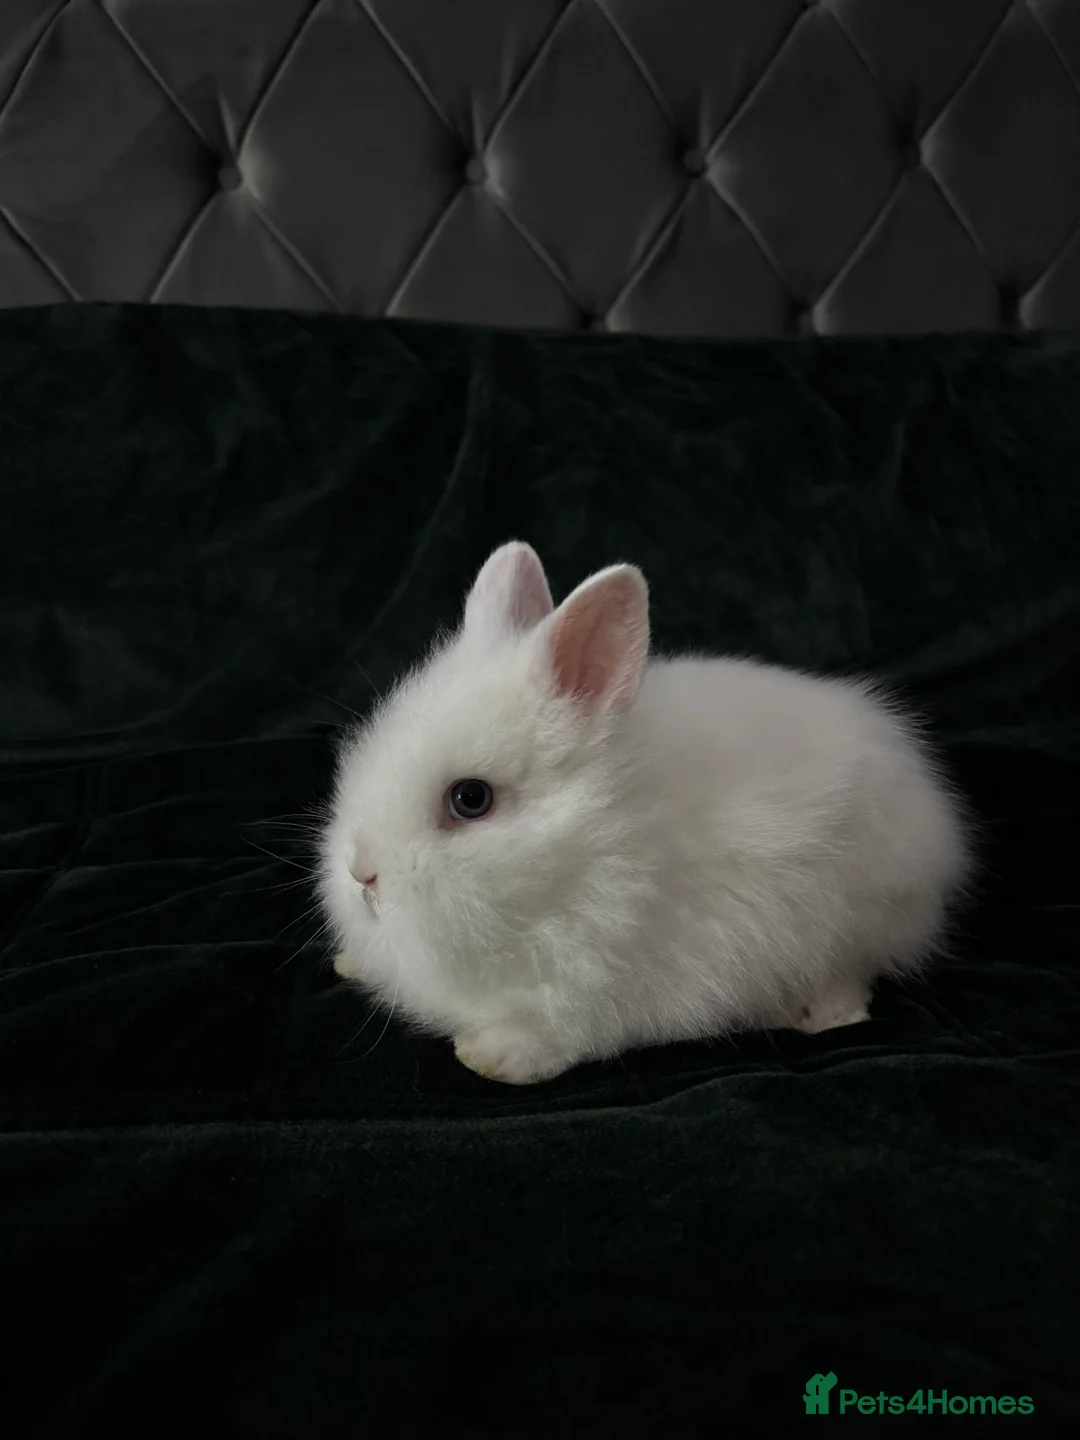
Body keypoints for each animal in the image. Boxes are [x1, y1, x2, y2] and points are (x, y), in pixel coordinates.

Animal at [318, 541, 972, 1085]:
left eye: (470, 799)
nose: (361, 874)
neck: (594, 847)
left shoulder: (610, 987)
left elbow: (568, 1033)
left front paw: (492, 1056)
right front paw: (352, 963)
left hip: (855, 915)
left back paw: (823, 1014)